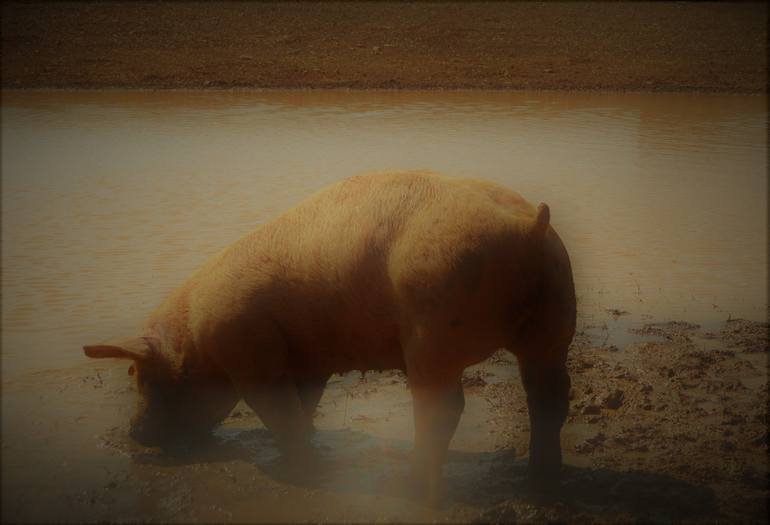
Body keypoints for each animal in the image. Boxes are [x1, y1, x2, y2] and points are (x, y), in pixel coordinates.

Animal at [85, 171, 576, 504]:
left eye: (144, 377)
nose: (134, 433)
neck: (198, 344)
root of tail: (526, 227)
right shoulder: (307, 361)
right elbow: (304, 404)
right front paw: (307, 447)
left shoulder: (250, 354)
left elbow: (277, 409)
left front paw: (299, 466)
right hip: (555, 319)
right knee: (549, 394)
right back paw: (543, 480)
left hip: (433, 333)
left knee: (443, 407)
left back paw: (410, 485)